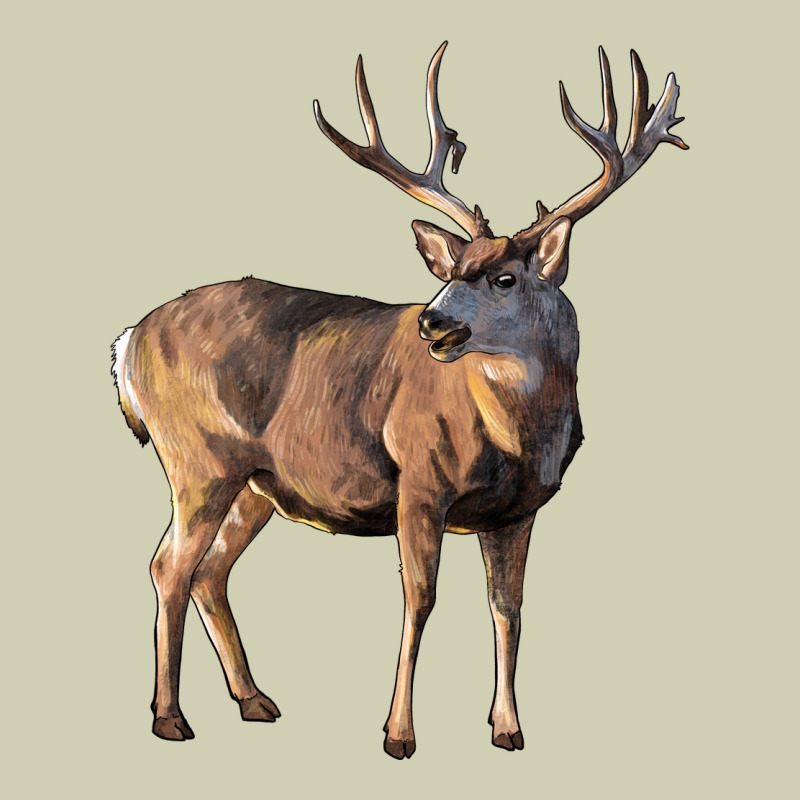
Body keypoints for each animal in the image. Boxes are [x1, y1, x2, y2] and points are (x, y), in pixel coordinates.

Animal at [111, 42, 687, 759]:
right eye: (449, 272)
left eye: (504, 277)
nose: (432, 323)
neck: (518, 438)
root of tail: (129, 341)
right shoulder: (419, 481)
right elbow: (420, 598)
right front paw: (398, 734)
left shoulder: (520, 510)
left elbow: (508, 608)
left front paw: (508, 728)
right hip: (198, 458)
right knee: (169, 565)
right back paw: (170, 717)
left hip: (256, 481)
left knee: (210, 571)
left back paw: (255, 701)